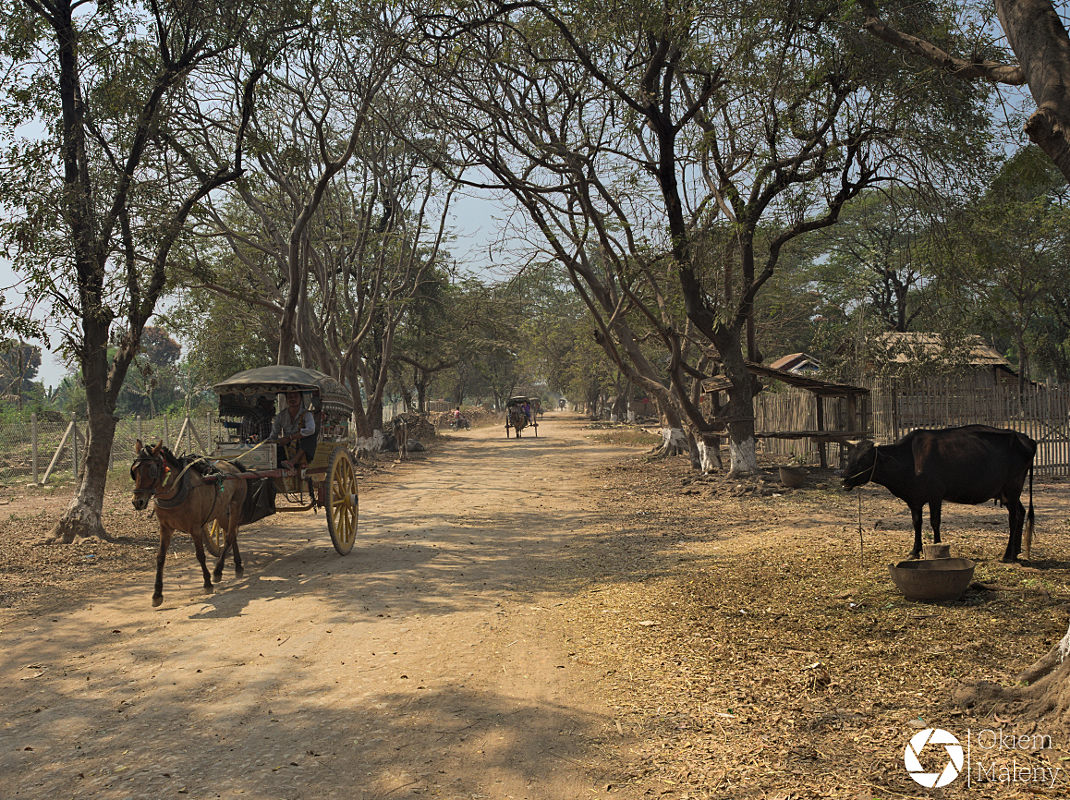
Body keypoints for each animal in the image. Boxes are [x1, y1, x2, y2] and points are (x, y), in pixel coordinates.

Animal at [131, 440, 248, 607]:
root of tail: (233, 465)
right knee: (231, 534)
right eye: (134, 471)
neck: (177, 490)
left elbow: (200, 555)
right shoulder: (165, 529)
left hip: (236, 505)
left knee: (231, 535)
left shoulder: (195, 528)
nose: (137, 502)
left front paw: (207, 583)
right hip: (220, 511)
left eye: (152, 470)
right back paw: (238, 566)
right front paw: (157, 594)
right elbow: (160, 558)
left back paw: (218, 571)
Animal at [841, 425, 1036, 562]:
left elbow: (935, 522)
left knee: (1014, 518)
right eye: (849, 457)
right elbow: (917, 523)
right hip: (1008, 493)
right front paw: (914, 551)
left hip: (1012, 489)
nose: (844, 480)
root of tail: (1027, 439)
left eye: (864, 459)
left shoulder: (935, 495)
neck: (910, 460)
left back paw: (1008, 555)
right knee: (1021, 513)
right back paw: (1016, 552)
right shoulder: (915, 499)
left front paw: (937, 547)